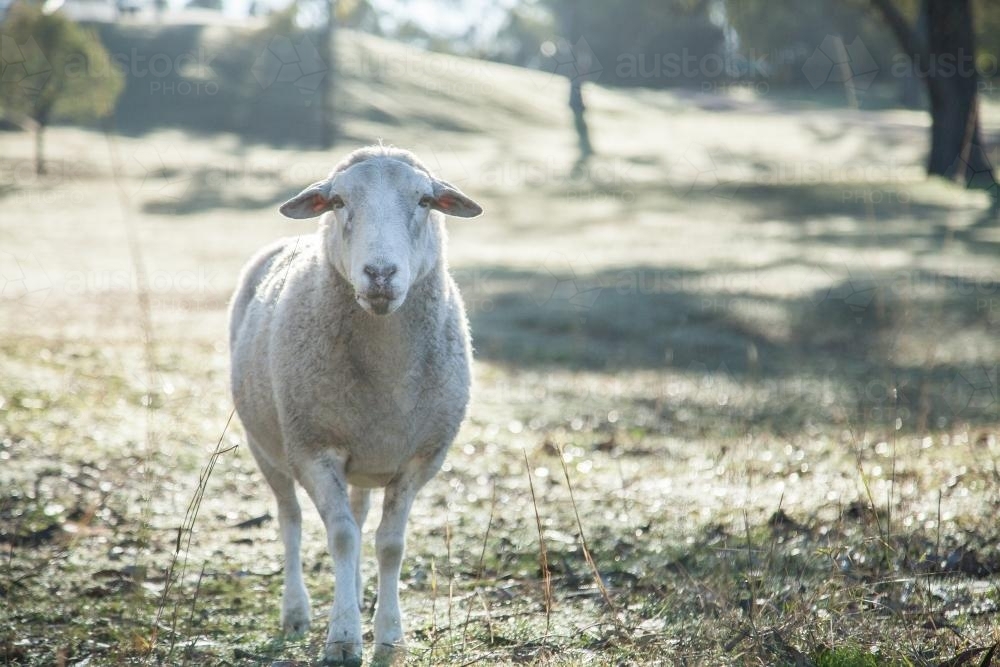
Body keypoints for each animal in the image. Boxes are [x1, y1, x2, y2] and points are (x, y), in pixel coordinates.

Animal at [232, 144, 486, 664]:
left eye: (425, 200)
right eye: (338, 202)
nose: (381, 274)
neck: (387, 373)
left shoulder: (420, 458)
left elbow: (389, 544)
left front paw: (389, 637)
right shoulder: (313, 448)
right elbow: (342, 536)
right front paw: (344, 638)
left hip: (365, 461)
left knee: (358, 515)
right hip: (265, 446)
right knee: (291, 521)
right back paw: (297, 612)